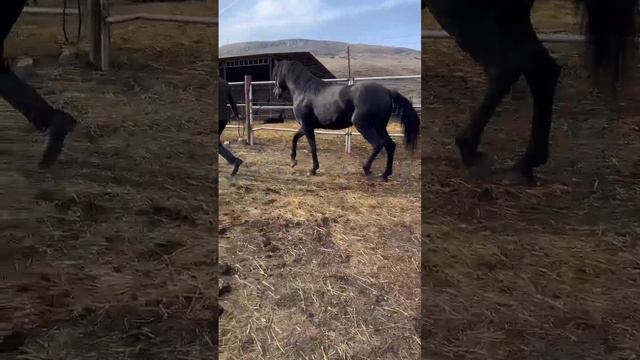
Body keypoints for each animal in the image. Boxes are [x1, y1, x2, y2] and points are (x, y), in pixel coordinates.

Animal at [272, 60, 422, 183]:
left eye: (275, 74)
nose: (276, 93)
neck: (304, 90)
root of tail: (387, 91)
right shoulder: (306, 126)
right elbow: (295, 137)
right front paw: (293, 161)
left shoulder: (307, 126)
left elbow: (312, 146)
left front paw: (312, 169)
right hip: (380, 127)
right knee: (390, 145)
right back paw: (385, 175)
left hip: (364, 126)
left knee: (378, 144)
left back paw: (366, 169)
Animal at [422, 0, 636, 184]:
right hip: (511, 17)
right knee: (541, 68)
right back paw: (526, 164)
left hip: (469, 15)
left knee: (505, 67)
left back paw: (471, 151)